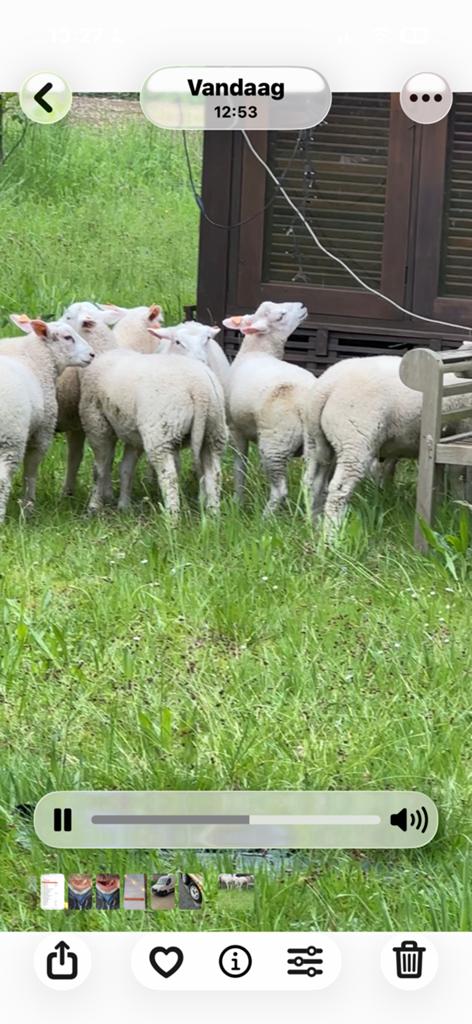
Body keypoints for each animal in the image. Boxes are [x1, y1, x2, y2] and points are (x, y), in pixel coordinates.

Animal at [0, 319, 93, 522]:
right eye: (67, 337)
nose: (92, 354)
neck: (34, 358)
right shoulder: (42, 432)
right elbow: (31, 472)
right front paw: (28, 507)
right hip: (11, 436)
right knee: (3, 479)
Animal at [79, 348, 228, 516]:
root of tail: (199, 388)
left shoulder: (97, 424)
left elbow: (99, 469)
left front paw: (93, 507)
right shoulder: (133, 435)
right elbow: (126, 469)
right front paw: (124, 507)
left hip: (160, 431)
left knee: (169, 476)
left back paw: (171, 517)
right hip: (214, 431)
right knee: (214, 472)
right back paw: (213, 514)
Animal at [222, 300, 311, 513]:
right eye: (280, 316)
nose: (302, 305)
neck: (257, 352)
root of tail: (305, 402)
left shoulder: (235, 429)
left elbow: (240, 466)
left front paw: (237, 502)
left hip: (275, 443)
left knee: (280, 490)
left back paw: (266, 517)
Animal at [302, 353, 472, 527]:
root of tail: (326, 387)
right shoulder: (462, 429)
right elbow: (459, 476)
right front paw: (459, 509)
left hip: (316, 442)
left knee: (313, 481)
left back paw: (314, 524)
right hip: (355, 437)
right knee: (339, 488)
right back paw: (332, 530)